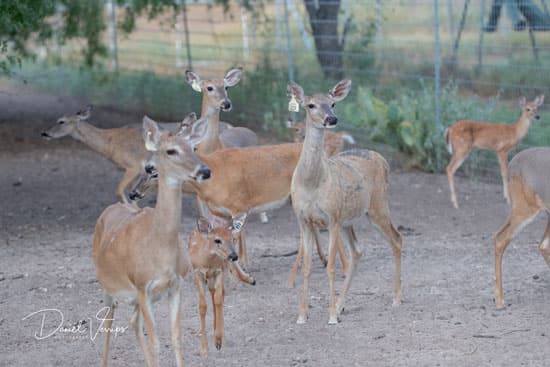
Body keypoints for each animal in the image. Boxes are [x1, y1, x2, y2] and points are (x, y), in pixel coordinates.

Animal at [91, 116, 212, 367]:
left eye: (193, 147)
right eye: (171, 150)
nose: (205, 171)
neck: (159, 249)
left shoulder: (175, 285)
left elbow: (176, 338)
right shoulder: (142, 285)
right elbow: (156, 342)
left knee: (133, 323)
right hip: (107, 285)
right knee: (107, 323)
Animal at [190, 214, 256, 358]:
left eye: (232, 238)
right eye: (217, 240)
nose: (234, 255)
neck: (207, 261)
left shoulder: (219, 270)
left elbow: (218, 300)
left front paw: (218, 340)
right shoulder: (197, 272)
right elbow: (202, 306)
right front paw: (204, 349)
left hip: (221, 269)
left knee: (219, 295)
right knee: (213, 293)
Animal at [288, 80, 406, 324]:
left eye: (333, 103)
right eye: (311, 105)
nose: (332, 118)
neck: (311, 183)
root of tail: (382, 159)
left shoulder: (331, 217)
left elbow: (331, 267)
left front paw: (331, 316)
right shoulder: (303, 220)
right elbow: (306, 267)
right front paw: (302, 316)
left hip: (377, 206)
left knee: (397, 238)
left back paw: (396, 298)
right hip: (348, 220)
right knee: (357, 251)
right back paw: (342, 305)